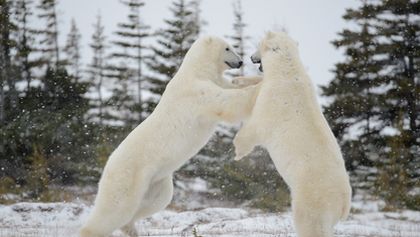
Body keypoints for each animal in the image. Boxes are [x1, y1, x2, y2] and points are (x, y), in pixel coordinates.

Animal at [80, 36, 260, 237]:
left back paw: (131, 228)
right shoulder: (196, 92)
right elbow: (227, 102)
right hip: (128, 176)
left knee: (156, 201)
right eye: (228, 48)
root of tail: (108, 164)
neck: (197, 71)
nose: (241, 61)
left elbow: (231, 86)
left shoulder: (215, 81)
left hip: (156, 181)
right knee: (115, 208)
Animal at [233, 31, 352, 237]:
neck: (288, 71)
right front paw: (237, 80)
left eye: (258, 44)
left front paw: (237, 151)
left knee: (309, 224)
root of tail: (344, 203)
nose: (251, 57)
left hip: (312, 199)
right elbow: (258, 85)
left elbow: (255, 126)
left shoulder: (274, 101)